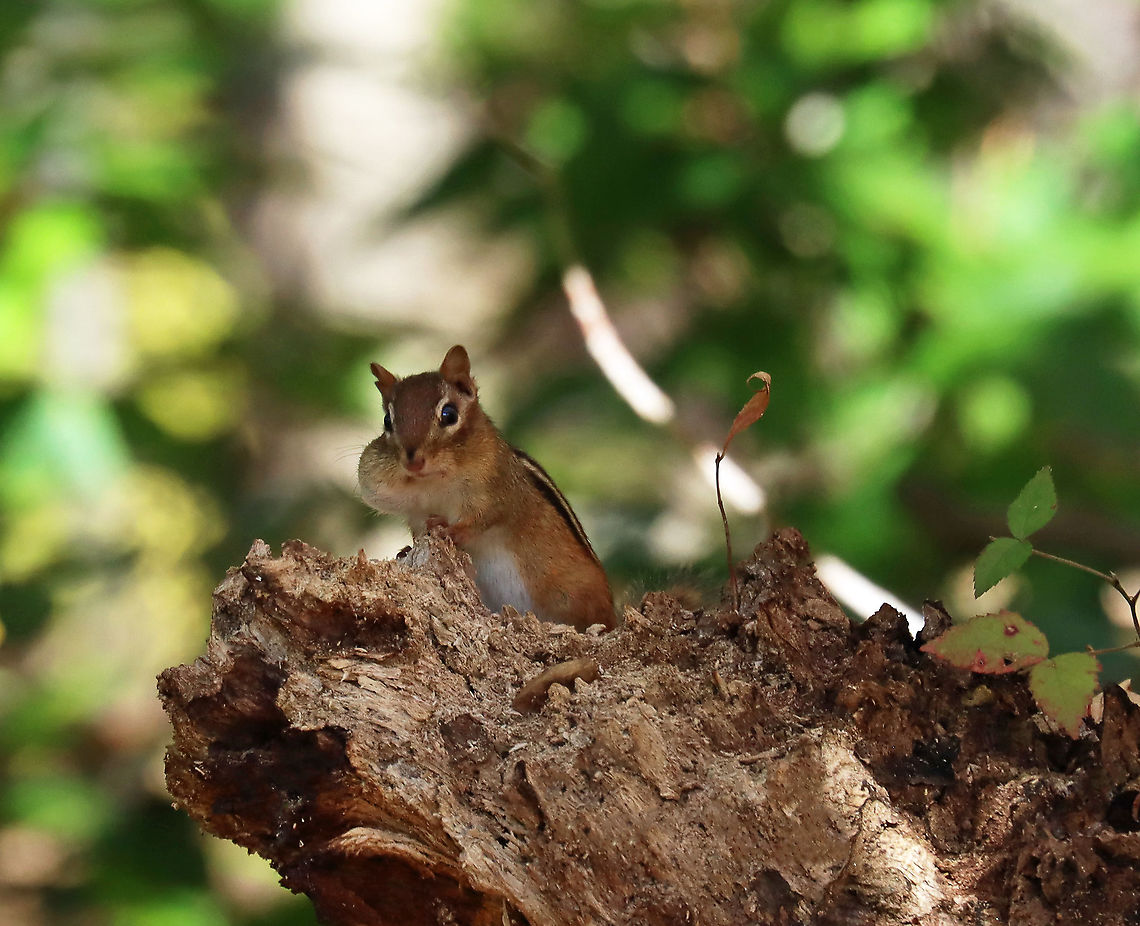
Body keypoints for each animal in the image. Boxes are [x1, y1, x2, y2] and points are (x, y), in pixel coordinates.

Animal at [357, 345, 616, 631]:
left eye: (449, 414)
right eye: (387, 420)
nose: (413, 461)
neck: (434, 483)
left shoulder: (499, 493)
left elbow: (484, 519)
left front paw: (448, 529)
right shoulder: (414, 511)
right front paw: (407, 548)